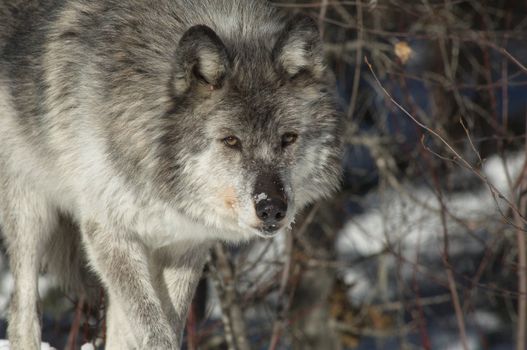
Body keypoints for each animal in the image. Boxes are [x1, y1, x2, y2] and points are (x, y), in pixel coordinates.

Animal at [0, 0, 342, 348]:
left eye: (288, 138)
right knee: (22, 310)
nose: (271, 208)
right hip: (30, 213)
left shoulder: (185, 245)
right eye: (231, 141)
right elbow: (155, 331)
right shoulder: (110, 234)